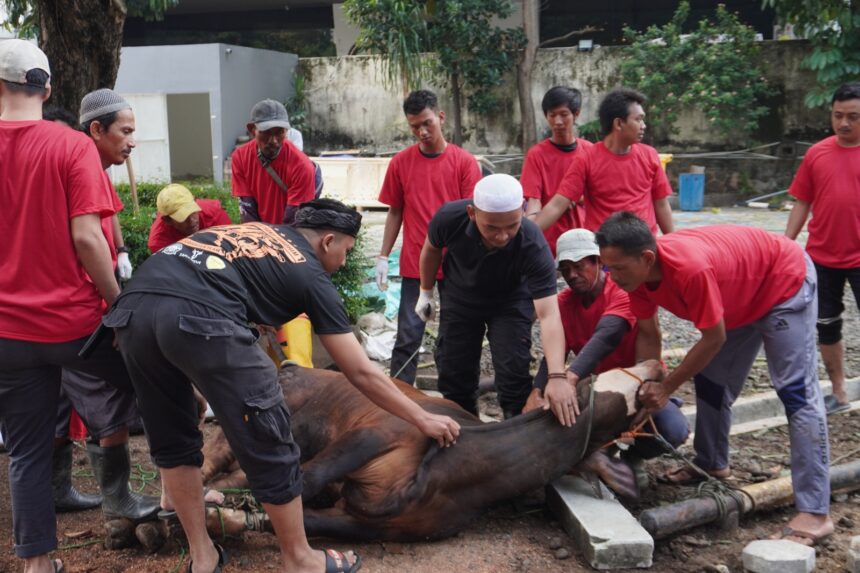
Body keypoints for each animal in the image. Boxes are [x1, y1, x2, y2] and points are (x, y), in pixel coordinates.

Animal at [197, 360, 664, 544]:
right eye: (627, 382)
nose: (658, 367)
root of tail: (289, 365)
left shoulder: (374, 524)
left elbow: (294, 518)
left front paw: (230, 519)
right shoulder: (374, 433)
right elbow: (305, 481)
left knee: (238, 473)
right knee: (213, 455)